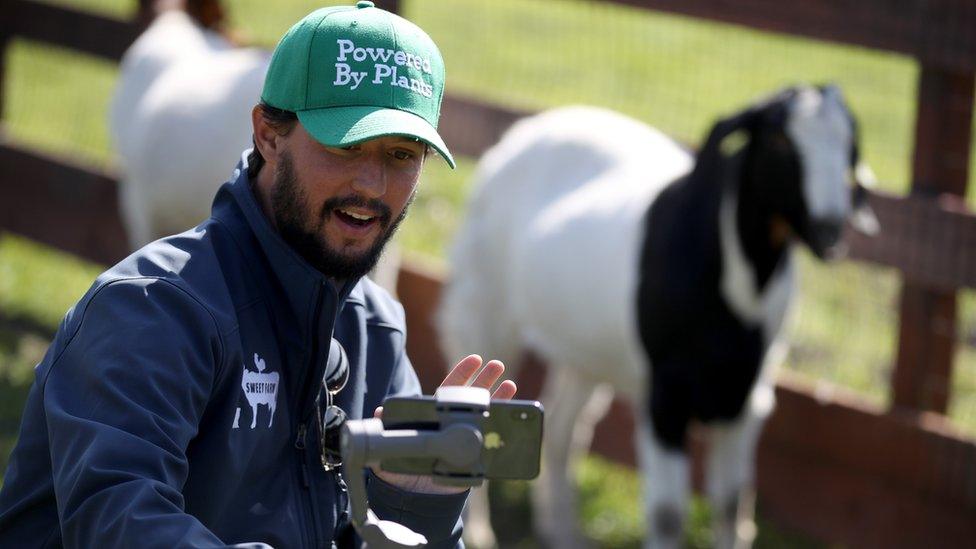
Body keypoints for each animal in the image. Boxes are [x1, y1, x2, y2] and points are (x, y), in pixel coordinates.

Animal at [440, 86, 876, 548]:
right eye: (778, 140)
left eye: (850, 146)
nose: (829, 230)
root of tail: (523, 131)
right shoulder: (665, 394)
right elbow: (668, 515)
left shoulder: (746, 395)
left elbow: (731, 505)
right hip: (483, 304)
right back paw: (483, 532)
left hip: (586, 352)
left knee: (560, 429)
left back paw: (562, 531)